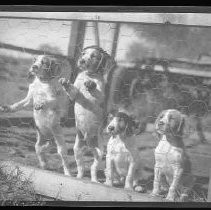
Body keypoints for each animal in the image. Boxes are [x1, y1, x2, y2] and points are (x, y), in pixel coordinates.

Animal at [59, 45, 115, 182]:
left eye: (94, 56)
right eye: (83, 54)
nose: (82, 61)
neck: (88, 75)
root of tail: (88, 142)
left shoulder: (99, 97)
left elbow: (95, 91)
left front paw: (91, 84)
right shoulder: (75, 94)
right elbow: (72, 91)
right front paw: (65, 83)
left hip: (99, 152)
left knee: (92, 169)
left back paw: (94, 180)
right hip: (77, 150)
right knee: (81, 167)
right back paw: (78, 177)